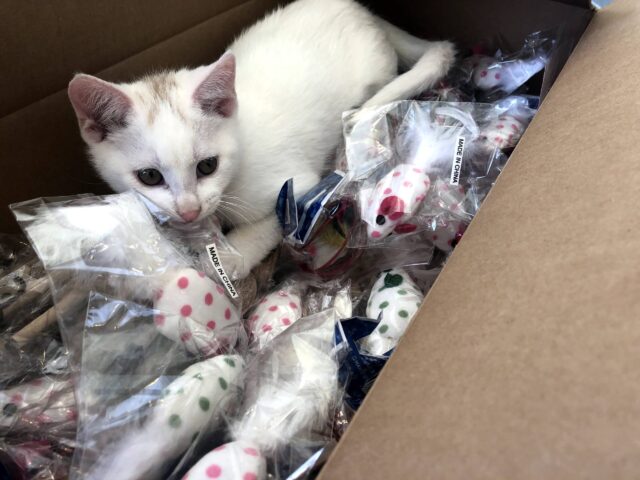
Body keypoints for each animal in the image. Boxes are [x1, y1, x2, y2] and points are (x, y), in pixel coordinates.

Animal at [66, 0, 456, 278]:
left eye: (207, 166)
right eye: (149, 176)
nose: (189, 211)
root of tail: (363, 11)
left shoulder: (298, 185)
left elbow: (270, 225)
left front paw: (227, 259)